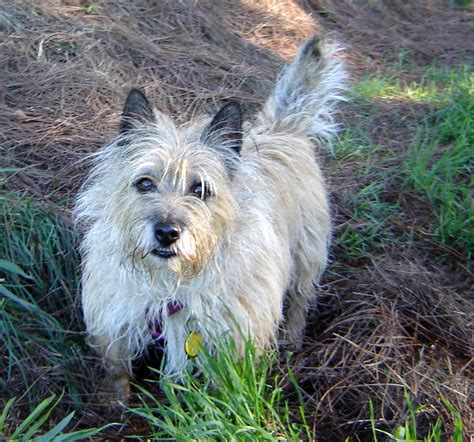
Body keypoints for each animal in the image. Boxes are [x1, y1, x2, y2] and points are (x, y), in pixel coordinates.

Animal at [76, 36, 346, 402]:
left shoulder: (235, 338)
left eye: (200, 189)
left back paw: (292, 336)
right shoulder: (116, 314)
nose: (167, 232)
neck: (171, 288)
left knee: (301, 299)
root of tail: (282, 128)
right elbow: (116, 365)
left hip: (307, 254)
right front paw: (113, 400)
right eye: (144, 183)